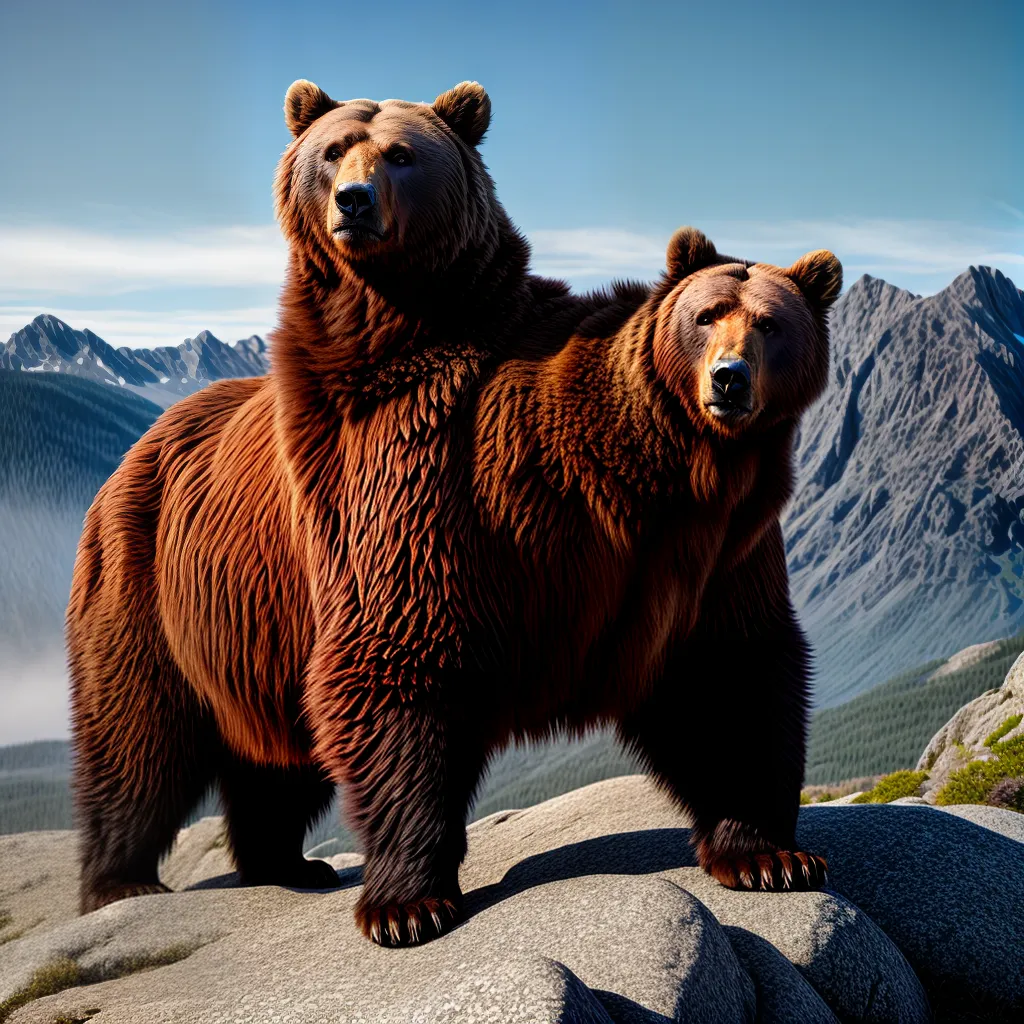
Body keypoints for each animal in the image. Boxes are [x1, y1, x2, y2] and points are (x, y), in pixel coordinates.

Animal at [68, 77, 841, 949]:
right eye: (706, 316)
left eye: (769, 322)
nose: (729, 378)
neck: (640, 473)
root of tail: (140, 445)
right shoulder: (430, 494)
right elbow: (400, 662)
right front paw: (408, 905)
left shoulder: (716, 545)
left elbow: (730, 671)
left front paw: (770, 856)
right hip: (148, 575)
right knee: (138, 734)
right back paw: (122, 882)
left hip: (253, 614)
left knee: (271, 753)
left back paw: (286, 862)